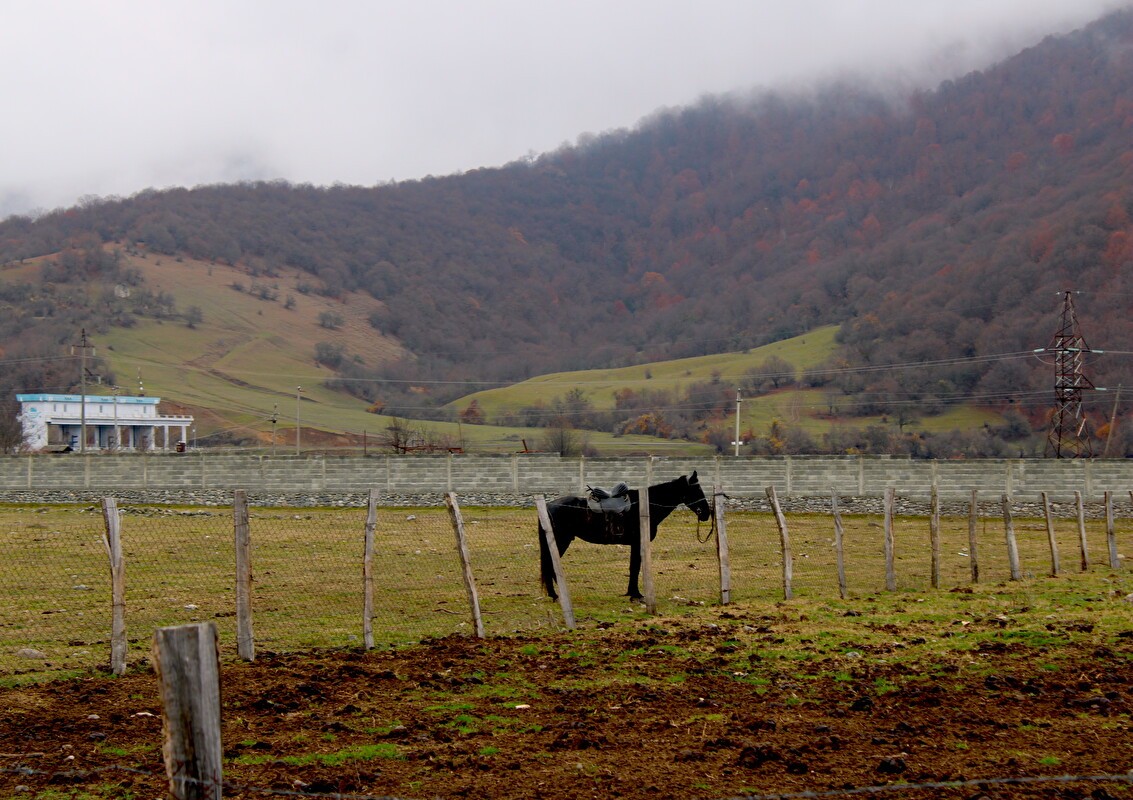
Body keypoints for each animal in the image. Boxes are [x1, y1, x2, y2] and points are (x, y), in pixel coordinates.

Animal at [537, 471, 706, 593]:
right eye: (697, 489)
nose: (706, 514)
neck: (645, 507)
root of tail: (548, 506)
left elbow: (634, 567)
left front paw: (632, 593)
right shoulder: (637, 543)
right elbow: (635, 568)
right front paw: (635, 595)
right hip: (560, 541)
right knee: (550, 564)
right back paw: (555, 595)